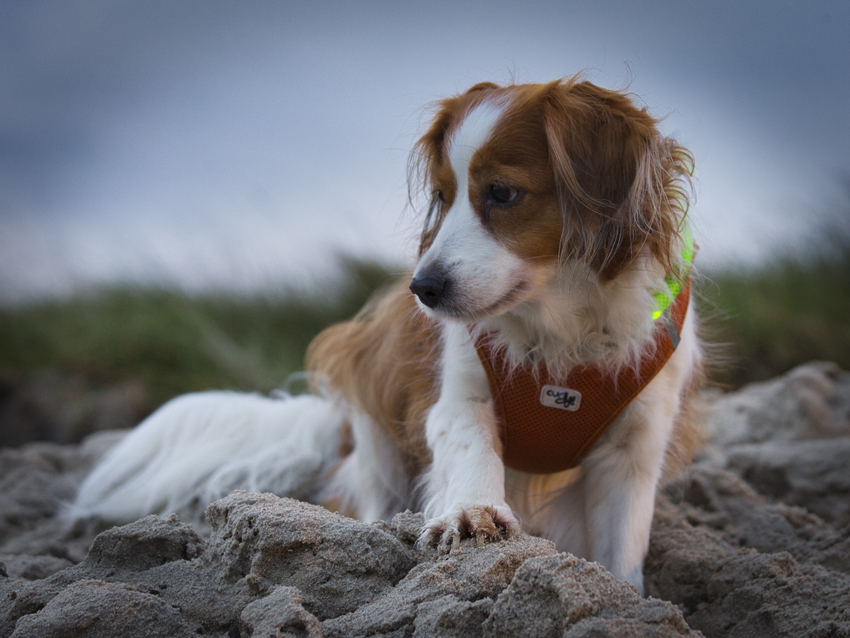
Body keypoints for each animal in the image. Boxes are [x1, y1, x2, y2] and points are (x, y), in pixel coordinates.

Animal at [73, 79, 700, 596]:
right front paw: (473, 511)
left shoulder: (634, 446)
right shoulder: (455, 396)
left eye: (502, 193)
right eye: (443, 196)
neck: (558, 327)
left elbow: (623, 544)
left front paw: (628, 598)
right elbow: (474, 447)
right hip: (371, 406)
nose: (422, 288)